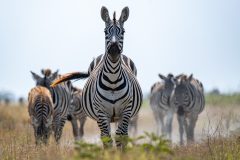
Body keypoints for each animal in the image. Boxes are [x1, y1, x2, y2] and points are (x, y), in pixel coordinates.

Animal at [51, 6, 142, 149]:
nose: (114, 51)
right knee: (105, 135)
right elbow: (107, 139)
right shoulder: (101, 112)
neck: (113, 80)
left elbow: (120, 137)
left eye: (123, 31)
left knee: (123, 134)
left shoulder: (126, 111)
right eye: (105, 31)